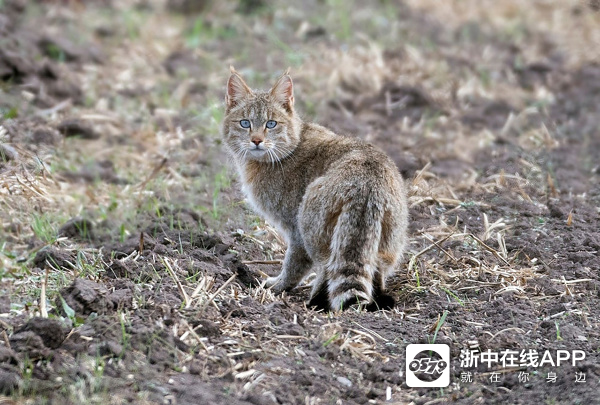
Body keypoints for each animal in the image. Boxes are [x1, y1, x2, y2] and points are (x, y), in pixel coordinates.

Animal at [223, 68, 410, 310]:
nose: (256, 140)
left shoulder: (295, 230)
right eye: (245, 123)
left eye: (271, 124)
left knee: (326, 265)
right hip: (389, 241)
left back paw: (315, 301)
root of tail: (365, 186)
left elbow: (294, 263)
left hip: (311, 224)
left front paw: (278, 286)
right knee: (373, 269)